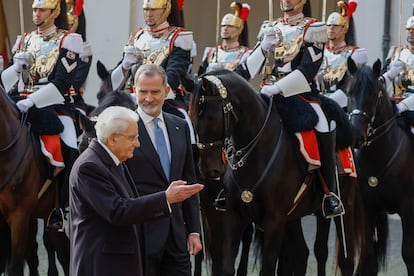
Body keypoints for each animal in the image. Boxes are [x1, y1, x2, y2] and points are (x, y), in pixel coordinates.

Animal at [183, 69, 364, 276]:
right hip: (297, 215)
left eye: (210, 117)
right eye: (191, 116)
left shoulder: (274, 222)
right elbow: (227, 267)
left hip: (345, 207)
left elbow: (267, 269)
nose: (208, 169)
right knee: (302, 254)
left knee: (344, 260)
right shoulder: (233, 216)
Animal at [348, 57, 414, 274]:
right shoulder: (370, 208)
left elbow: (408, 254)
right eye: (350, 92)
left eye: (372, 93)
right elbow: (369, 257)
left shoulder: (408, 207)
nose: (356, 135)